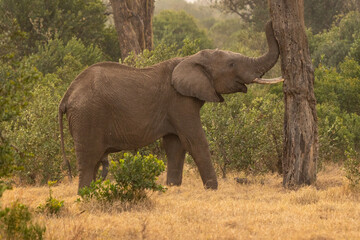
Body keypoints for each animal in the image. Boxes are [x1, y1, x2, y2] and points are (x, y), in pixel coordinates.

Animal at [58, 20, 282, 191]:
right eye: (232, 64)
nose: (271, 22)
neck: (190, 58)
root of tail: (67, 95)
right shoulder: (179, 101)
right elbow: (195, 141)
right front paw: (213, 189)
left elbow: (175, 146)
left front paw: (172, 187)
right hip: (87, 116)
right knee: (89, 160)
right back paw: (85, 194)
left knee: (95, 161)